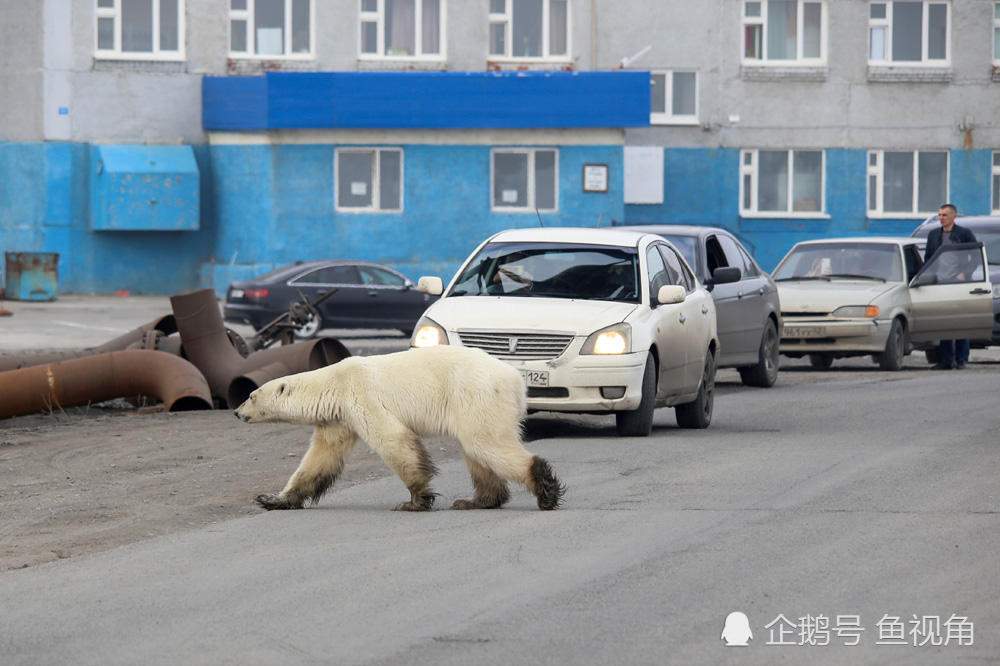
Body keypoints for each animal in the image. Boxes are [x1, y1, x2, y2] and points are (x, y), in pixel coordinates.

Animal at [232, 344, 564, 510]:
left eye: (251, 395)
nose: (236, 412)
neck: (334, 383)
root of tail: (515, 378)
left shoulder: (361, 396)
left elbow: (394, 440)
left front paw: (416, 501)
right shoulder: (338, 419)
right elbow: (320, 459)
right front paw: (272, 499)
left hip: (476, 394)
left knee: (486, 443)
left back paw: (545, 490)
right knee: (477, 452)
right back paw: (476, 501)